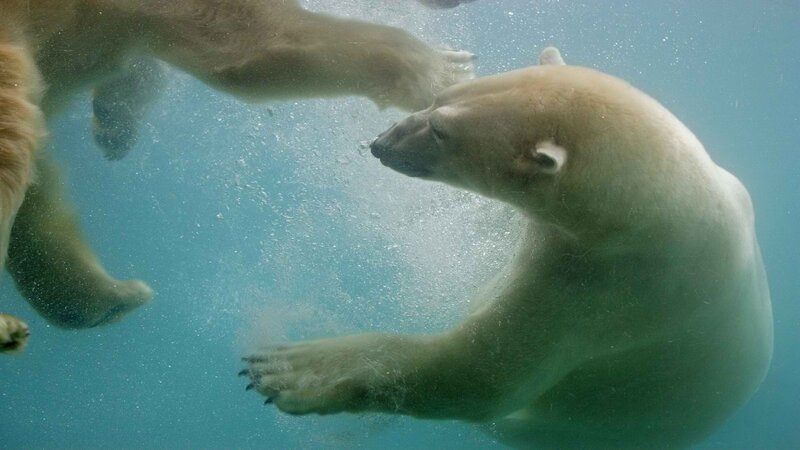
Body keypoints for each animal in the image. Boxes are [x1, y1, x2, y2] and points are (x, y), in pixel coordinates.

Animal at [242, 47, 773, 449]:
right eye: (438, 98)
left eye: (442, 132)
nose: (380, 143)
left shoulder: (610, 291)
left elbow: (483, 378)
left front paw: (288, 370)